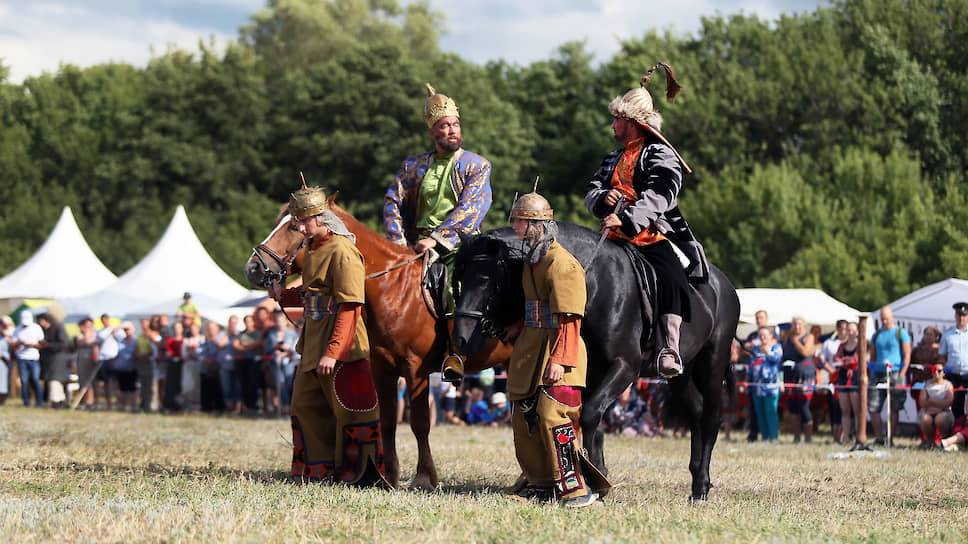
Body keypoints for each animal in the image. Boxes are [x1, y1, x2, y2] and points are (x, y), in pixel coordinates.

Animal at [246, 203, 510, 488]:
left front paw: (424, 477)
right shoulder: (383, 368)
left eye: (294, 227)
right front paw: (390, 476)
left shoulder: (415, 369)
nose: (253, 268)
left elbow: (419, 422)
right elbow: (388, 421)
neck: (394, 289)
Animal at [450, 222, 736, 502]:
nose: (461, 339)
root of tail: (724, 285)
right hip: (681, 375)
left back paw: (701, 487)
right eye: (459, 278)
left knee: (710, 418)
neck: (596, 284)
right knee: (695, 413)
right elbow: (589, 419)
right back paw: (697, 479)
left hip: (713, 364)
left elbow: (589, 414)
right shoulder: (588, 372)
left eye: (484, 280)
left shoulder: (625, 366)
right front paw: (593, 477)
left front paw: (596, 477)